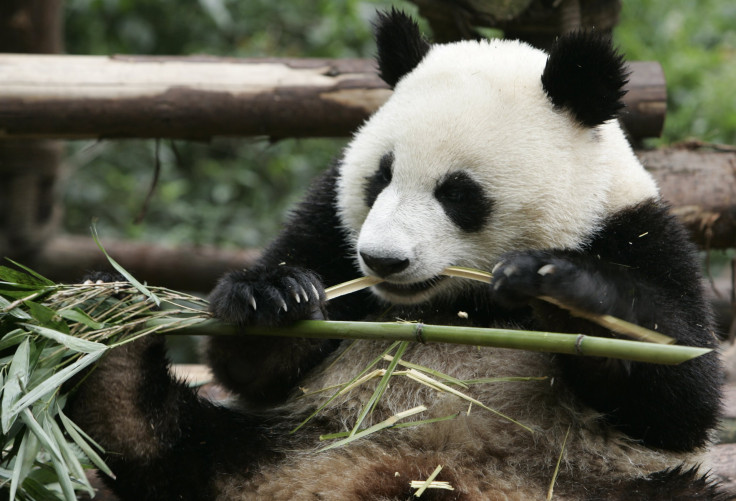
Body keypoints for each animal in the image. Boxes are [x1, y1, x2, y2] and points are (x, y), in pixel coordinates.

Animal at [69, 8, 724, 500]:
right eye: (379, 177)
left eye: (458, 193)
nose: (382, 262)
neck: (458, 305)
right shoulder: (329, 225)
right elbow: (247, 366)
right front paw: (274, 296)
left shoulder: (634, 231)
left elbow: (681, 391)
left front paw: (560, 289)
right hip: (281, 440)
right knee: (172, 445)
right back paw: (108, 343)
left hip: (589, 480)